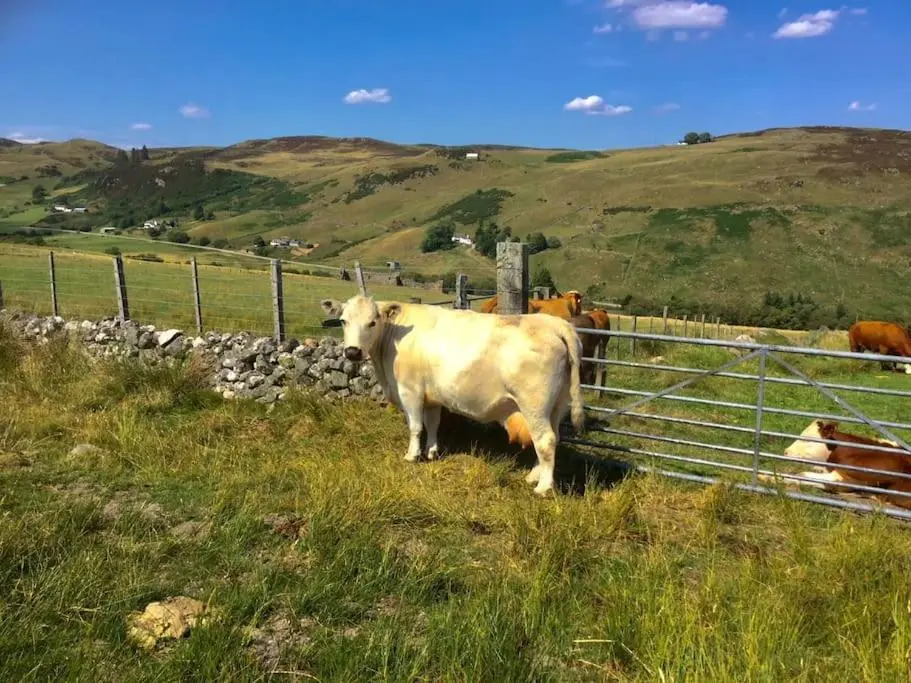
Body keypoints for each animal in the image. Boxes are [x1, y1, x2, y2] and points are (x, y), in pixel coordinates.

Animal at [320, 295, 585, 495]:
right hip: (556, 405)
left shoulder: (410, 390)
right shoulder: (432, 396)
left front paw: (412, 455)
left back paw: (543, 487)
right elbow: (432, 423)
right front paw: (432, 451)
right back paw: (534, 476)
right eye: (343, 321)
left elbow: (415, 426)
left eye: (373, 322)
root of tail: (555, 324)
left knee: (544, 440)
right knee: (551, 438)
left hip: (534, 405)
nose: (352, 351)